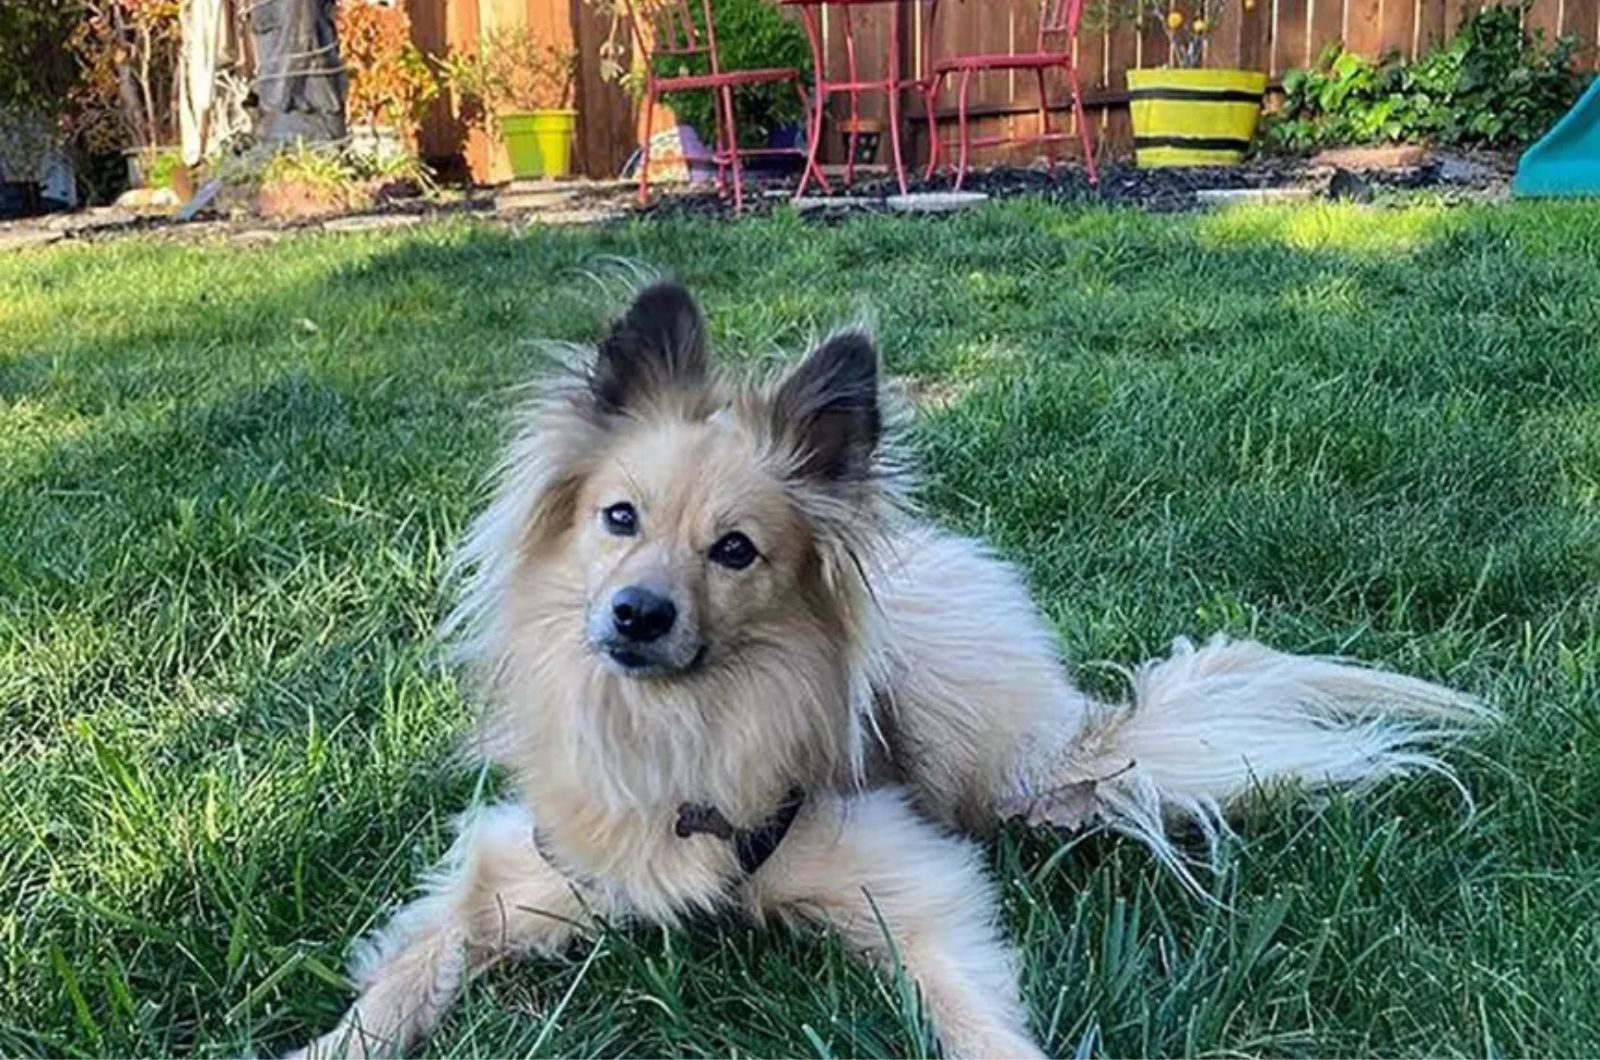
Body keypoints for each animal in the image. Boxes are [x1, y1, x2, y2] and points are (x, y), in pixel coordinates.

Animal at [297, 278, 1484, 1056]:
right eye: (618, 519)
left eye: (736, 551)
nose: (637, 613)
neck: (685, 724)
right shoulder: (516, 863)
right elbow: (413, 963)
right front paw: (338, 1041)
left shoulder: (911, 878)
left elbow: (967, 1005)